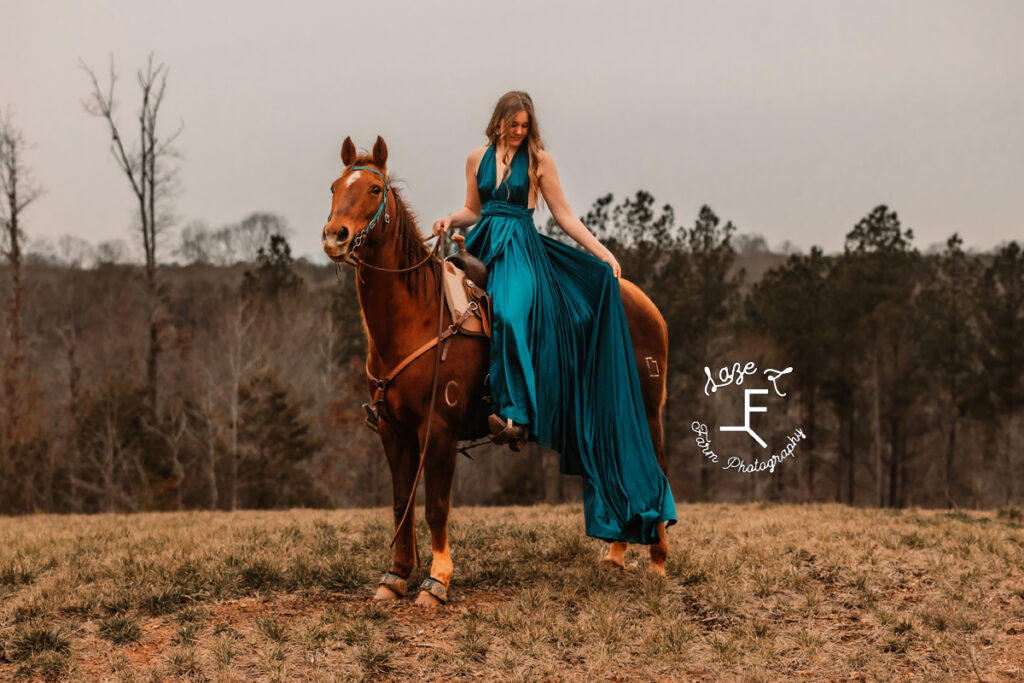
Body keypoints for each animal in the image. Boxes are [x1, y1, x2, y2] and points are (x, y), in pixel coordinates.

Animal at [321, 136, 671, 606]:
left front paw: (437, 581)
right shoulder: (394, 432)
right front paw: (395, 576)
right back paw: (616, 554)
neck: (418, 315)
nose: (334, 236)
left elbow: (435, 506)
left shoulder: (439, 430)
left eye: (375, 190)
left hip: (647, 412)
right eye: (335, 187)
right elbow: (400, 505)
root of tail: (643, 303)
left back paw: (658, 559)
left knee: (654, 468)